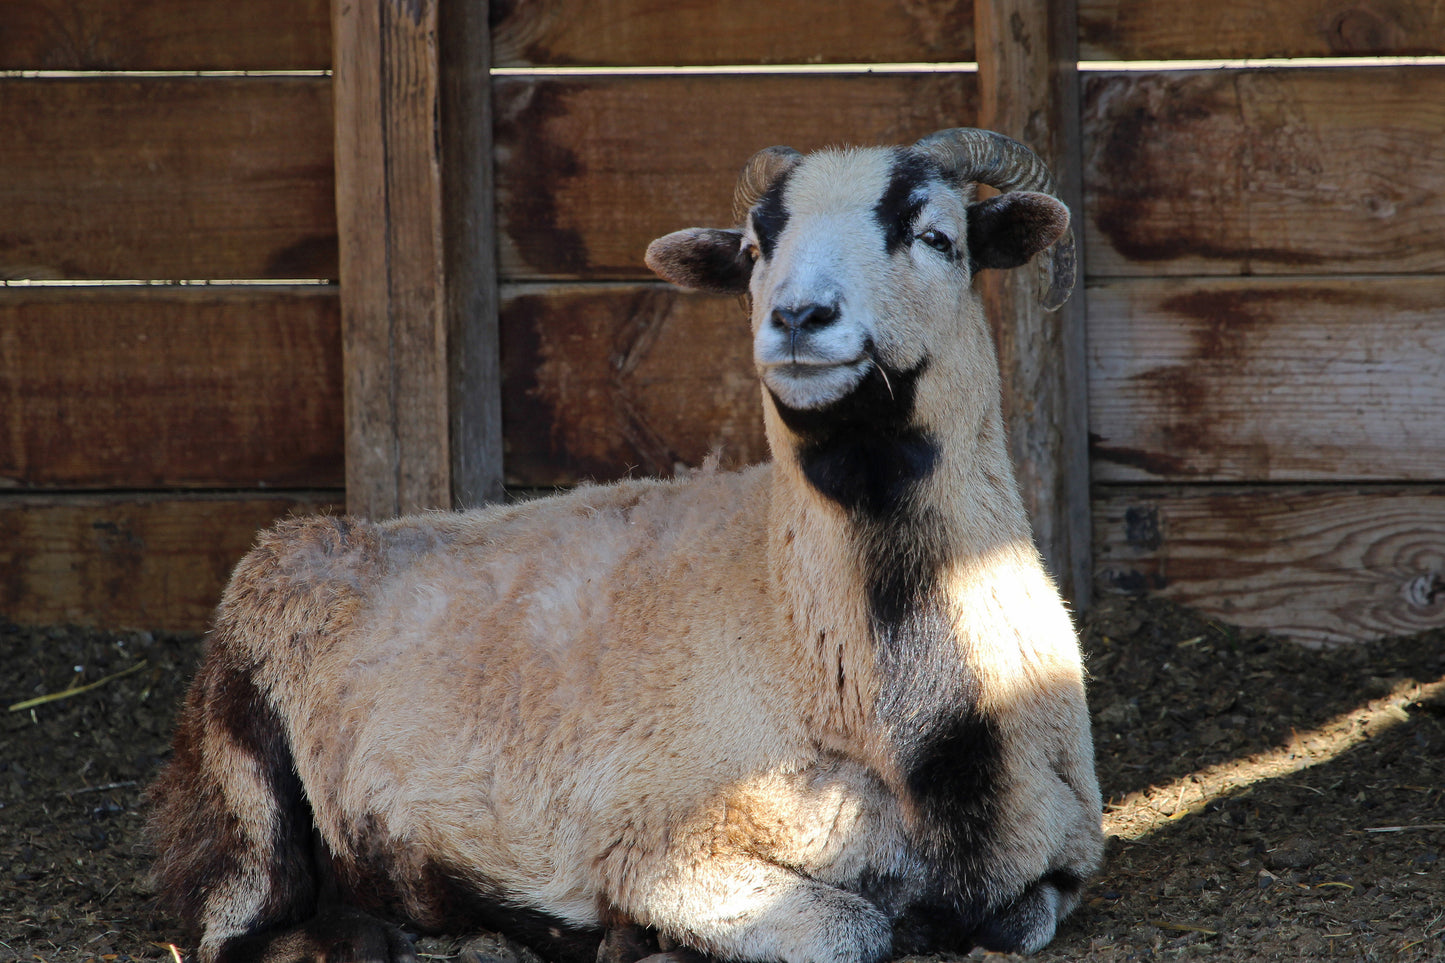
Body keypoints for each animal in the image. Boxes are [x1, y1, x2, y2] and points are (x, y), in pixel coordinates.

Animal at [149, 127, 1103, 963]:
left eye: (937, 236)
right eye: (753, 249)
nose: (798, 317)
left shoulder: (1058, 860)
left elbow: (1019, 918)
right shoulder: (659, 838)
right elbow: (854, 928)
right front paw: (640, 938)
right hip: (240, 773)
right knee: (234, 927)